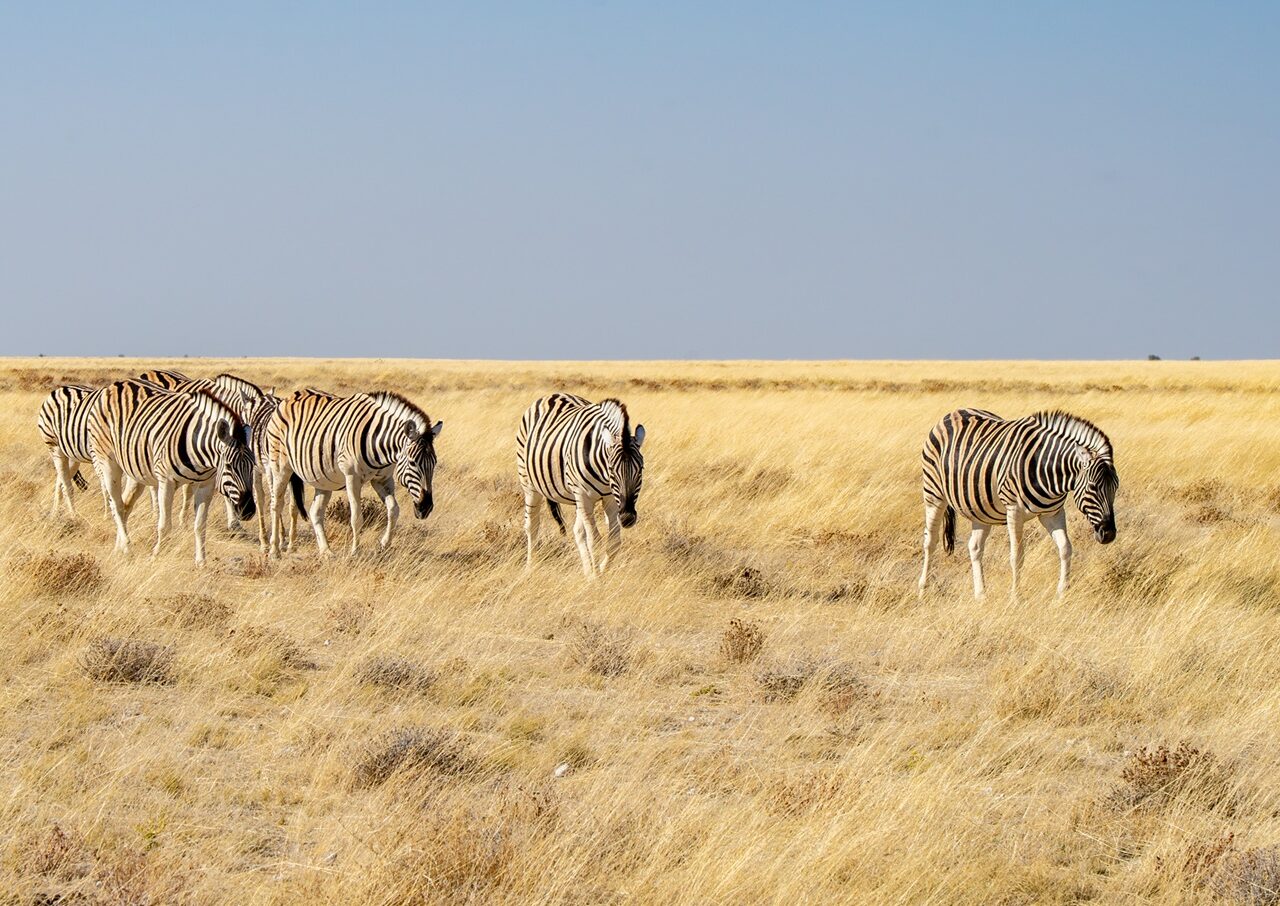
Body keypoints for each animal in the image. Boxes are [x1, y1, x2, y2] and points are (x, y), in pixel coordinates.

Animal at [88, 383, 256, 564]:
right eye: (229, 466)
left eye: (253, 466)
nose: (249, 511)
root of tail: (114, 386)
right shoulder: (166, 482)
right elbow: (165, 525)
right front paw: (156, 555)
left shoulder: (206, 485)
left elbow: (200, 525)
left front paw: (201, 562)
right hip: (107, 463)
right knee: (117, 506)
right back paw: (127, 548)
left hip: (136, 473)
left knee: (125, 504)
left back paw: (118, 548)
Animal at [266, 390, 442, 557]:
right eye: (413, 463)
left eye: (434, 464)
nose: (425, 508)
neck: (379, 445)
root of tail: (289, 398)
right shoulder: (352, 478)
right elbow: (357, 517)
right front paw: (355, 552)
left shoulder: (383, 479)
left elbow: (393, 510)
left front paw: (384, 544)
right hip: (279, 466)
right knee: (276, 504)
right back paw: (274, 551)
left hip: (323, 479)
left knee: (315, 512)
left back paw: (326, 551)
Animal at [516, 394, 646, 577]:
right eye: (612, 470)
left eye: (641, 470)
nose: (627, 518)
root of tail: (554, 394)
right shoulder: (585, 497)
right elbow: (595, 541)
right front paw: (598, 579)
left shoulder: (611, 500)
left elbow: (614, 542)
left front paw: (600, 572)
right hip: (530, 484)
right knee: (532, 525)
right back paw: (530, 568)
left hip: (578, 500)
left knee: (577, 531)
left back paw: (587, 571)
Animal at [918, 408, 1118, 599]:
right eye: (1092, 487)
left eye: (1116, 488)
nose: (1109, 534)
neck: (1047, 468)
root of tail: (952, 413)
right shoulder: (1014, 510)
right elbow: (1017, 557)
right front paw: (1016, 598)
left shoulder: (1052, 513)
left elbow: (1065, 548)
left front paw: (1062, 594)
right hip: (934, 494)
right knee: (930, 541)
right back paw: (922, 591)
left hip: (980, 508)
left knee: (974, 547)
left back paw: (981, 596)